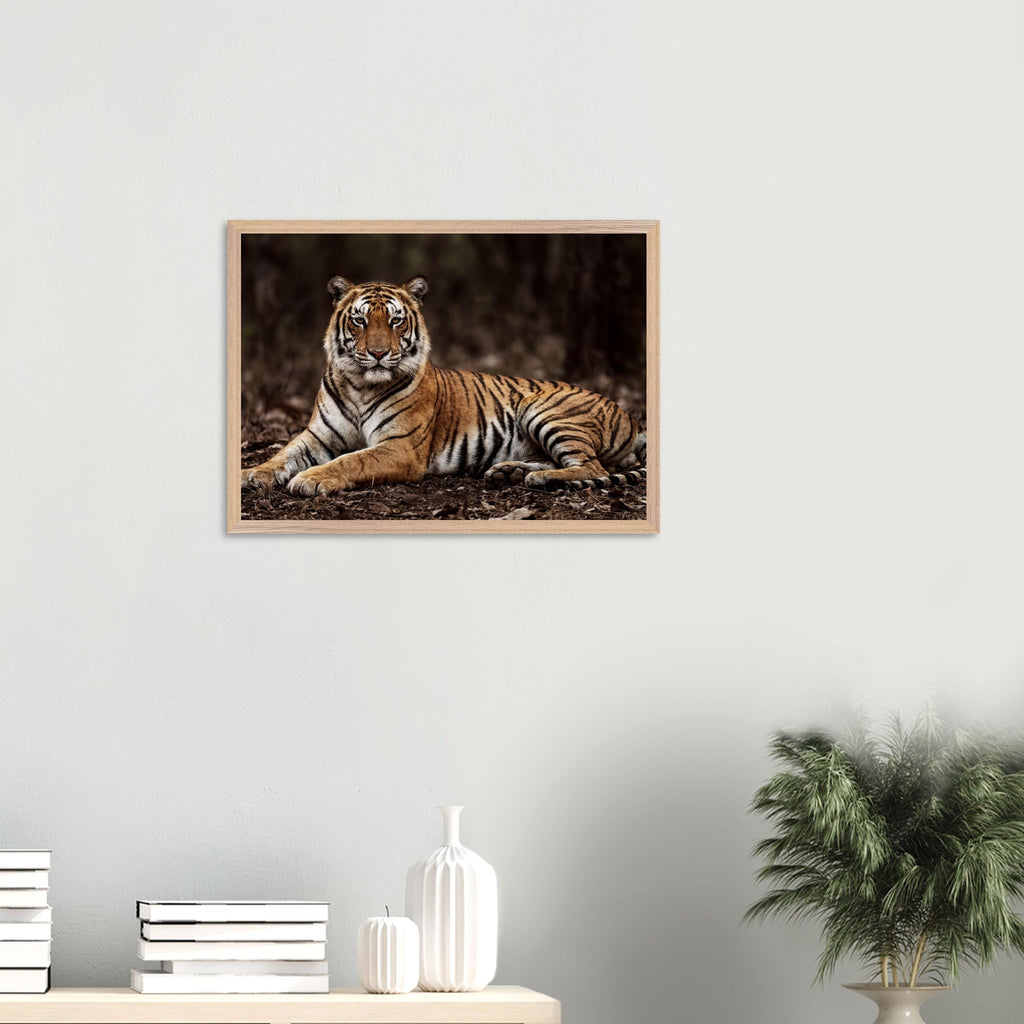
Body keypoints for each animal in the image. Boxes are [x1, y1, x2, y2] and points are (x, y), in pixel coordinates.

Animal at [241, 275, 647, 496]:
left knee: (594, 469)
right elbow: (283, 454)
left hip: (545, 409)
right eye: (359, 320)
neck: (360, 385)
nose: (377, 353)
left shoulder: (400, 447)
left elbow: (352, 460)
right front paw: (252, 474)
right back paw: (510, 472)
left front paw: (310, 479)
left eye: (395, 321)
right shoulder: (317, 436)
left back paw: (540, 478)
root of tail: (631, 417)